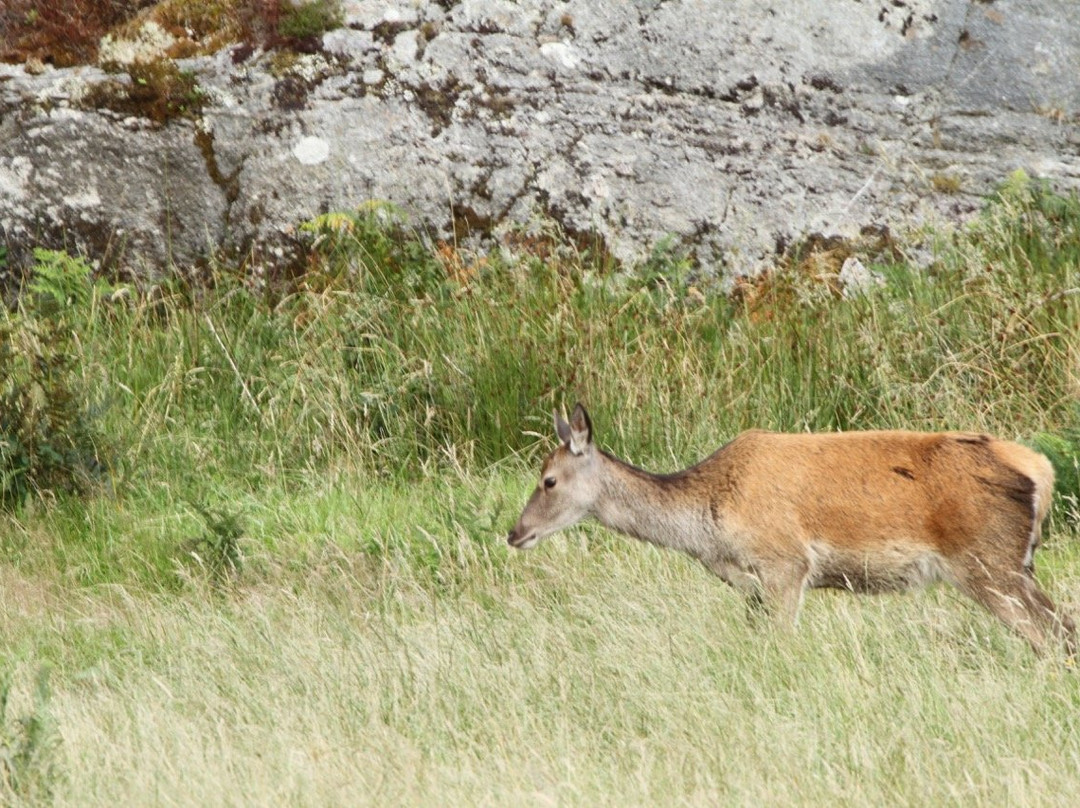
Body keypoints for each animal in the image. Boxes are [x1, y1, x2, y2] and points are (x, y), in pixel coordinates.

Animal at [509, 404, 1075, 656]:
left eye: (548, 479)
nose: (515, 533)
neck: (709, 530)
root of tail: (1042, 470)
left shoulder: (785, 562)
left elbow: (781, 643)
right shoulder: (752, 584)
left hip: (988, 561)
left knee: (1056, 634)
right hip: (1015, 563)